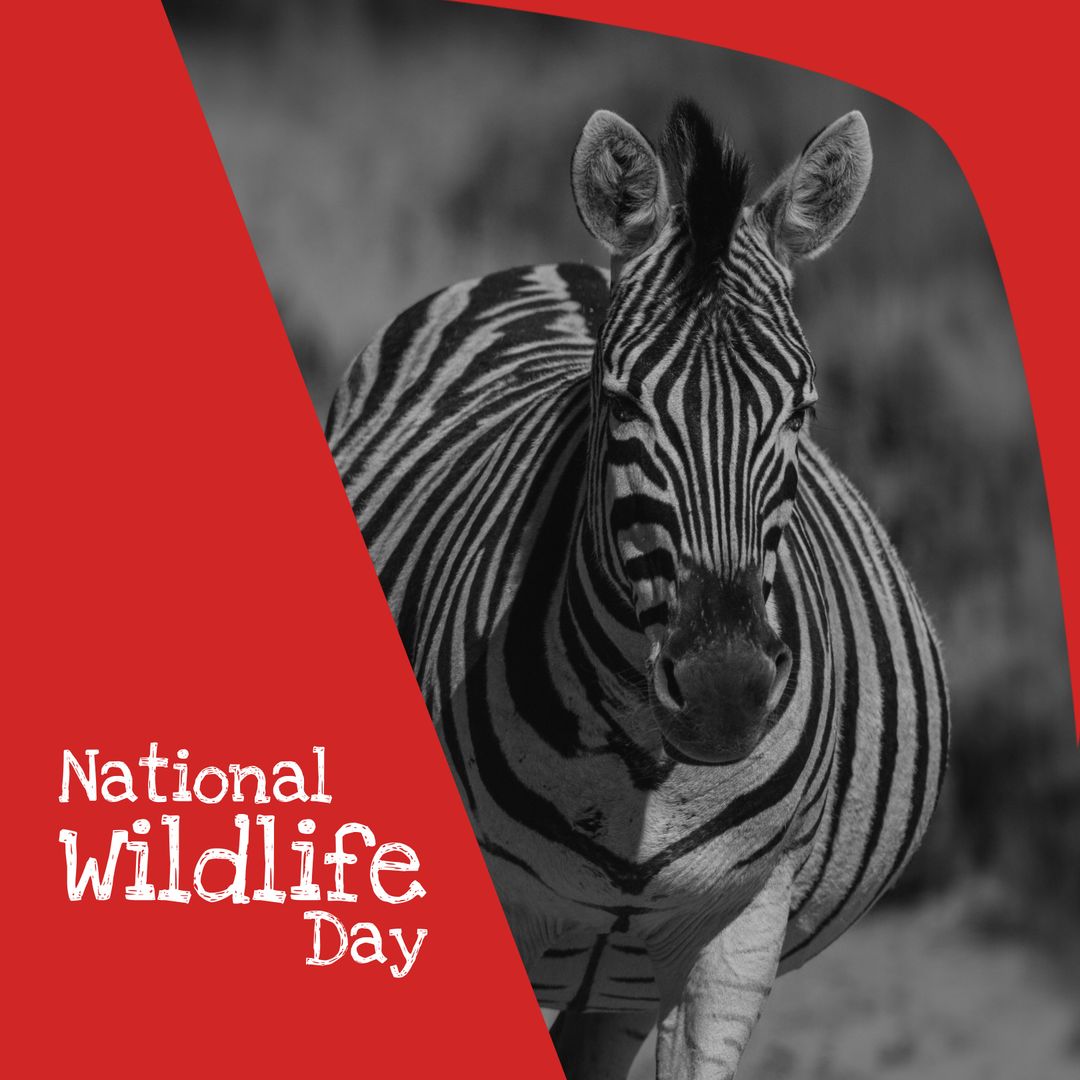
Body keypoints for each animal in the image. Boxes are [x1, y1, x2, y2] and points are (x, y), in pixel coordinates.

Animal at [326, 98, 949, 1079]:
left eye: (802, 412)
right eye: (620, 405)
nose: (727, 697)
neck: (646, 778)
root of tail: (570, 266)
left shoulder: (741, 929)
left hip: (620, 978)